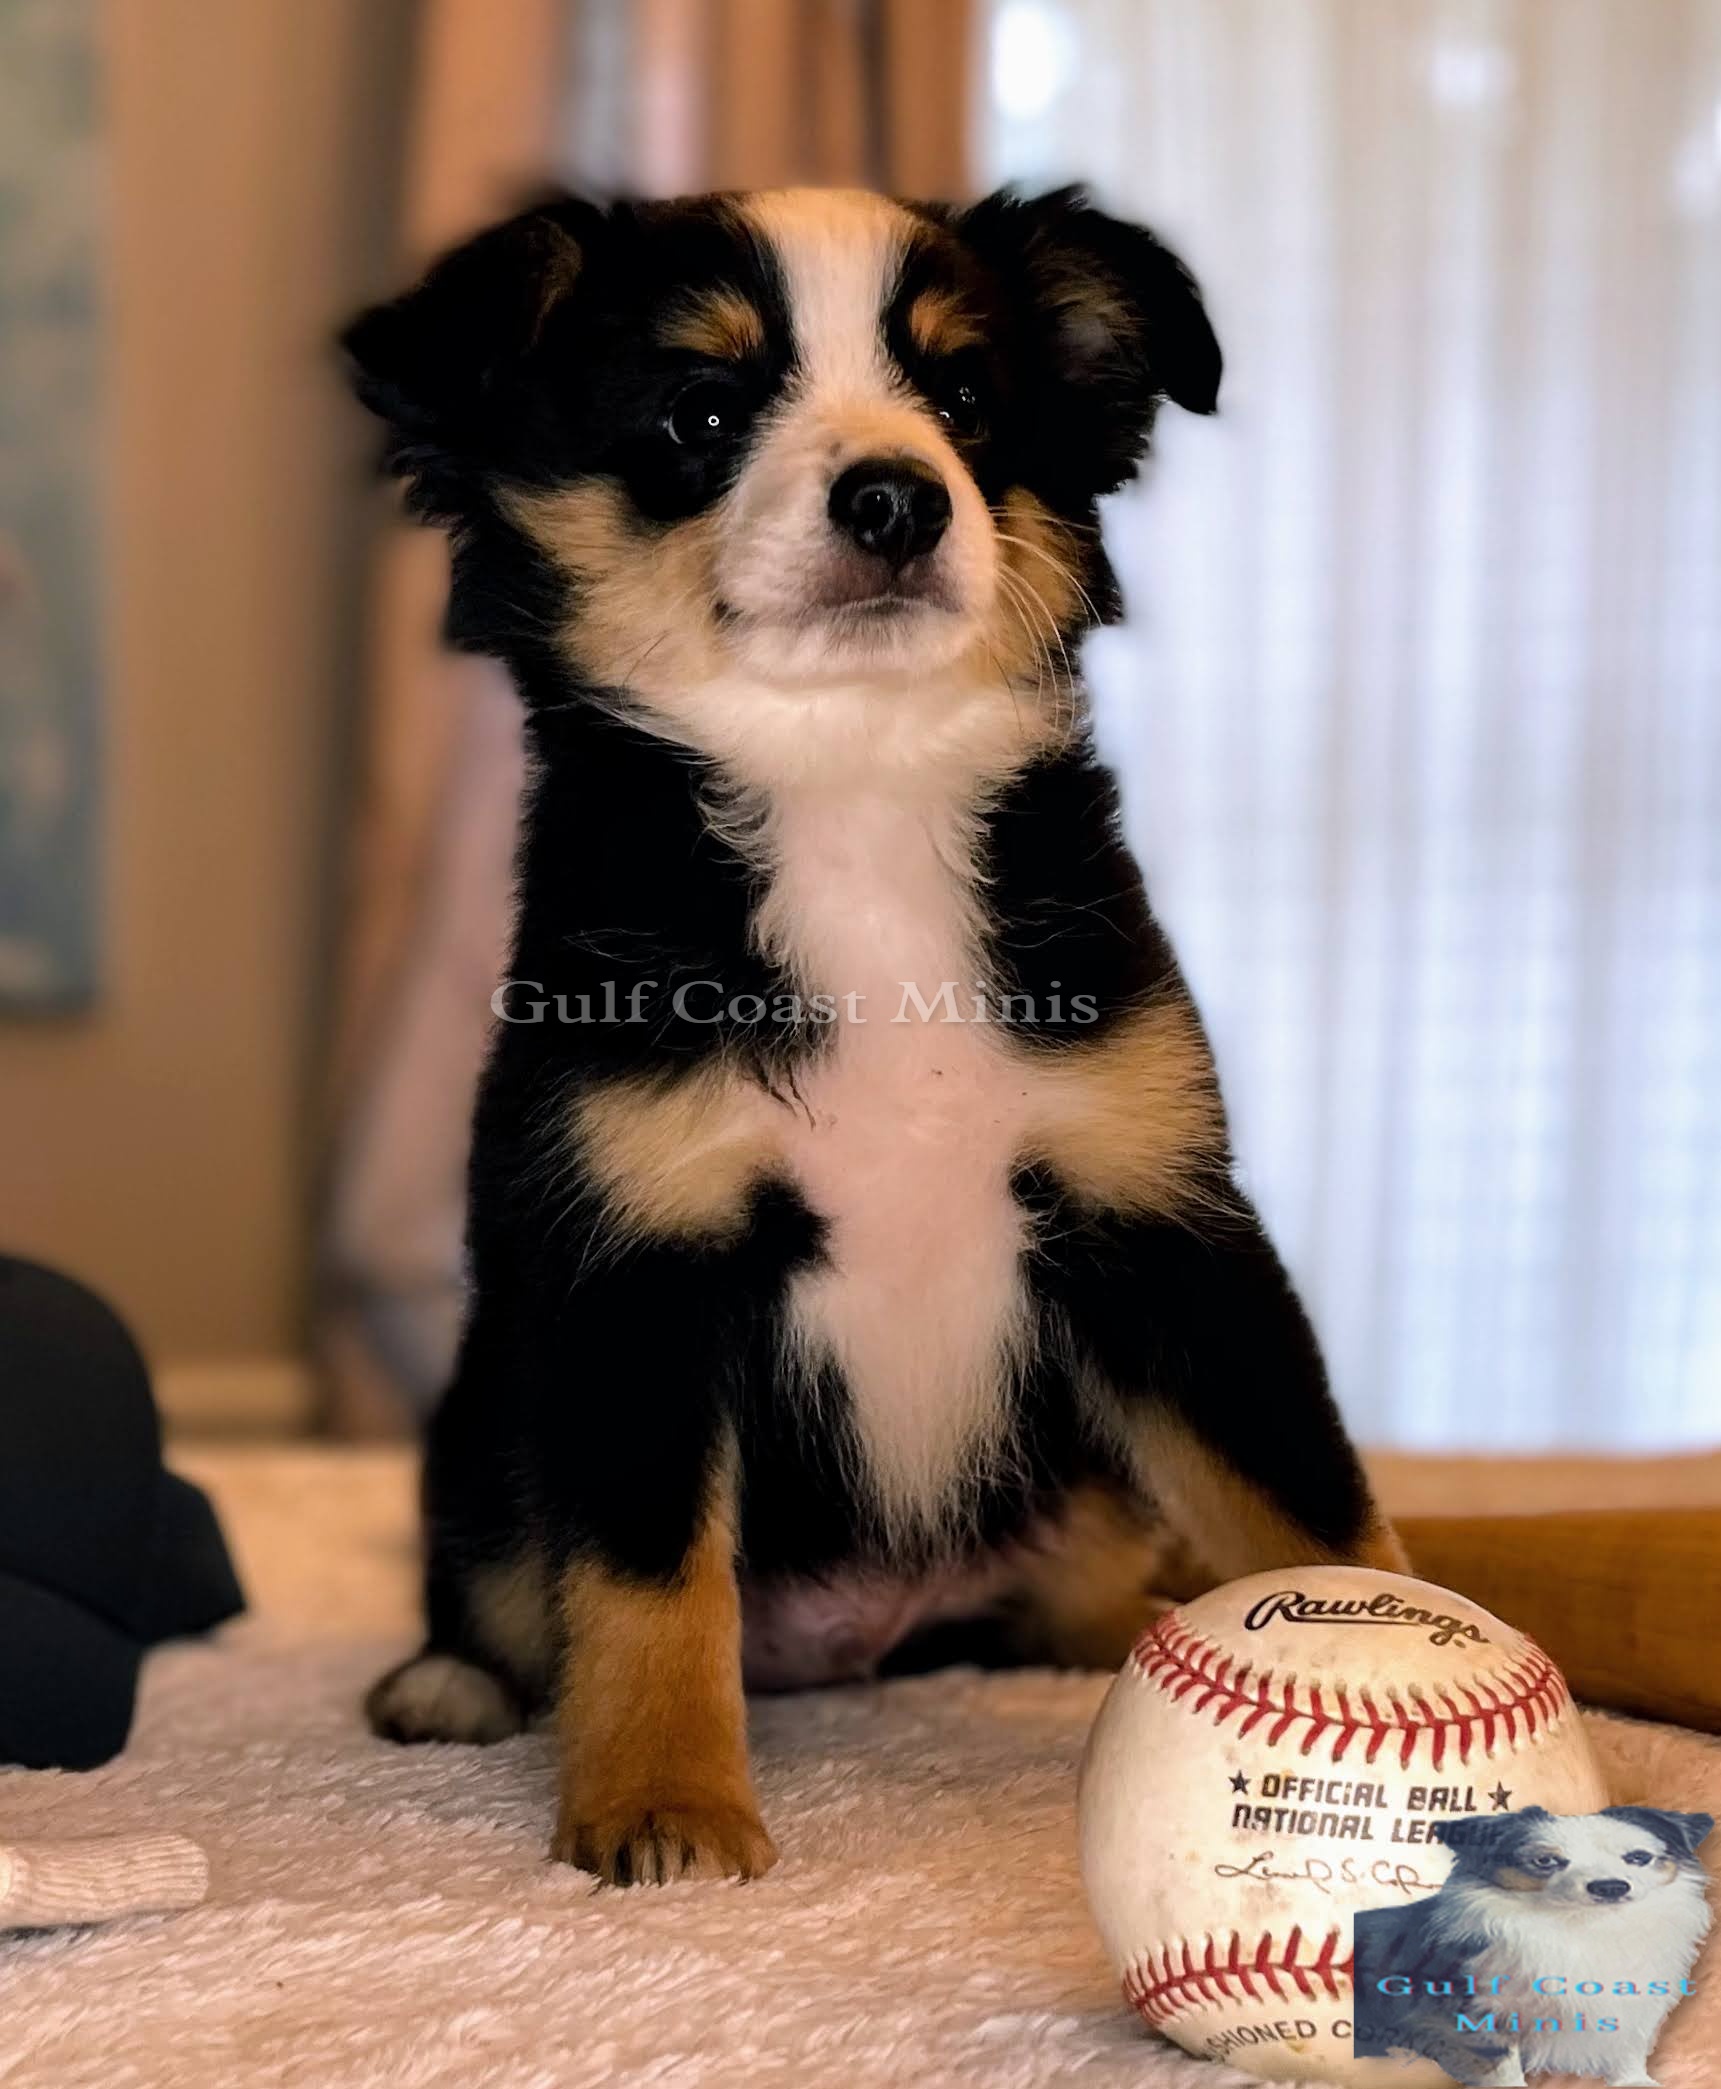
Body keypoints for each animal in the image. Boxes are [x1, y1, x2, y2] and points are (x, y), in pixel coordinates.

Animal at [342, 183, 1407, 1885]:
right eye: (701, 411)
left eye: (964, 398)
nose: (898, 498)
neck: (850, 784)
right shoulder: (638, 1258)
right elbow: (645, 1574)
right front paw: (666, 1805)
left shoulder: (1159, 1217)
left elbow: (1309, 1490)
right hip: (494, 1419)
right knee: (502, 1583)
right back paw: (448, 1686)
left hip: (1085, 1485)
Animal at [1355, 1805, 1714, 2085]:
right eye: (1545, 1861)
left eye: (1638, 1858)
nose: (1610, 1886)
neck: (1582, 1927)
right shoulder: (1480, 2010)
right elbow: (1501, 2064)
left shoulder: (1636, 2005)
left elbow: (1628, 2046)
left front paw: (1635, 2082)